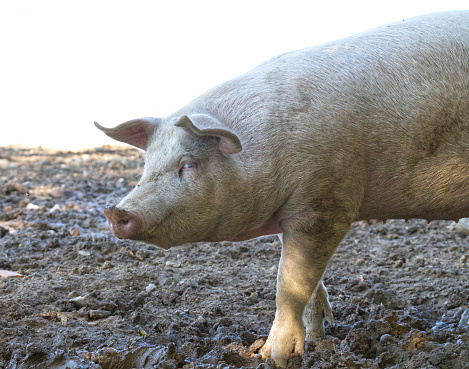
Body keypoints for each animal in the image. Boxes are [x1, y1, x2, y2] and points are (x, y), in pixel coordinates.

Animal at [96, 10, 468, 366]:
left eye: (188, 164)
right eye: (147, 163)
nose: (115, 211)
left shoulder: (325, 202)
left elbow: (290, 282)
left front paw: (269, 357)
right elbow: (310, 281)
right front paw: (318, 339)